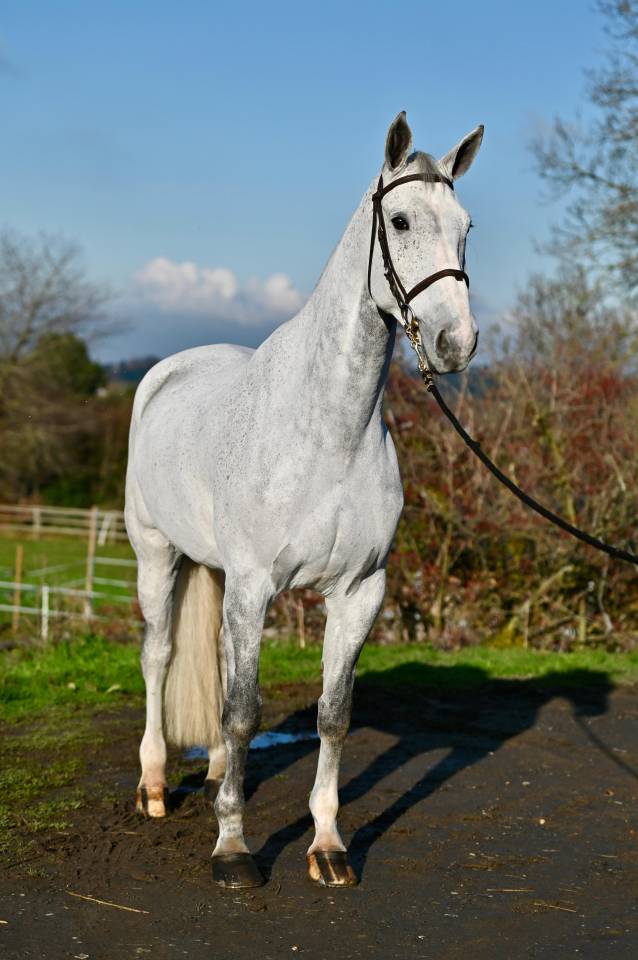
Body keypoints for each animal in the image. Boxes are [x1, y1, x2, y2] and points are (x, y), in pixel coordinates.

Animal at [124, 111, 483, 889]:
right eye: (400, 221)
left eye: (466, 226)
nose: (456, 342)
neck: (327, 432)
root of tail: (169, 371)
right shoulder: (256, 585)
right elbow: (243, 711)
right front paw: (233, 849)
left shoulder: (358, 590)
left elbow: (332, 714)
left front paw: (327, 845)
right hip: (156, 557)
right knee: (160, 657)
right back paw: (156, 786)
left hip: (218, 576)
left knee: (217, 666)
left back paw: (214, 778)